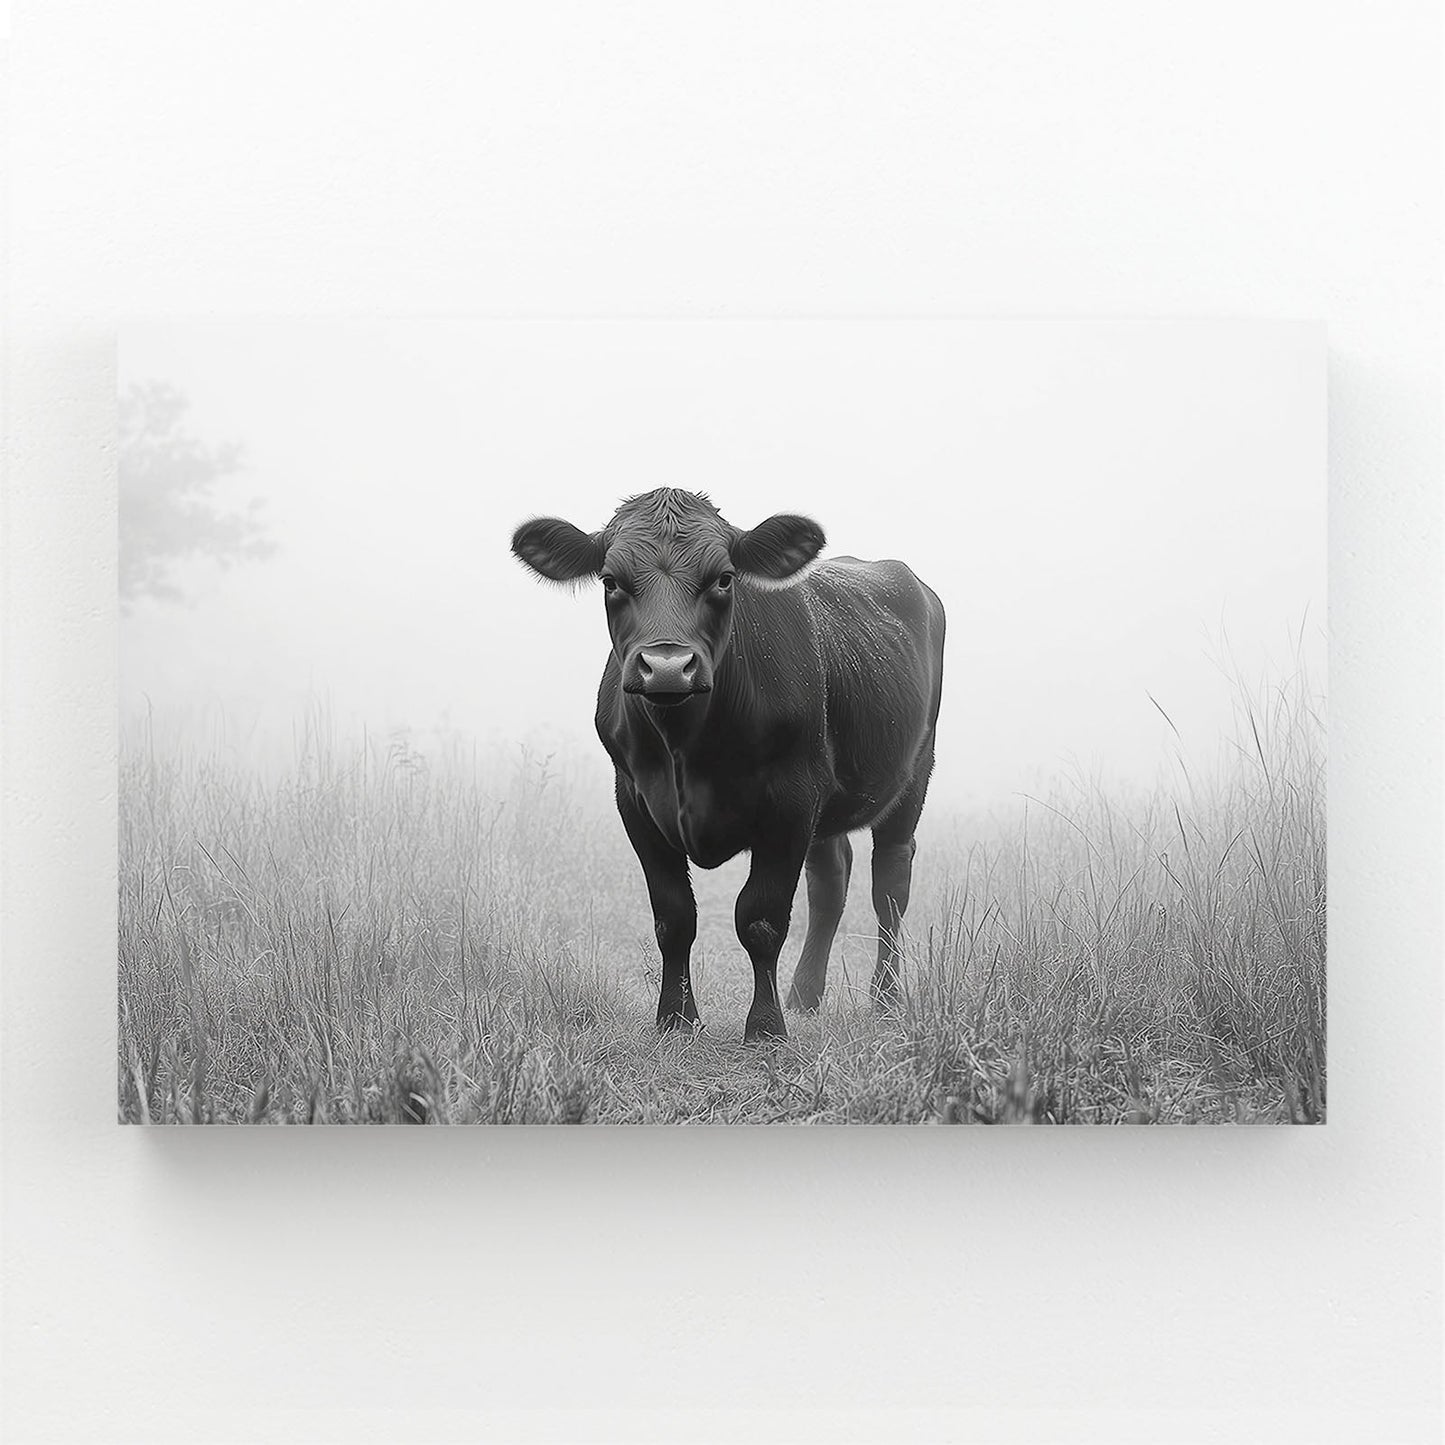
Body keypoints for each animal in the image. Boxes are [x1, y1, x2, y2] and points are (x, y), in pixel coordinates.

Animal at [511, 488, 945, 1042]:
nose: (667, 668)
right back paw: (805, 996)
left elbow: (760, 919)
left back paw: (884, 999)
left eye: (723, 578)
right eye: (610, 581)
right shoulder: (634, 800)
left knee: (889, 884)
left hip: (914, 773)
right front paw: (676, 1020)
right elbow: (674, 917)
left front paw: (765, 1027)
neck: (687, 745)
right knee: (831, 882)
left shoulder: (791, 801)